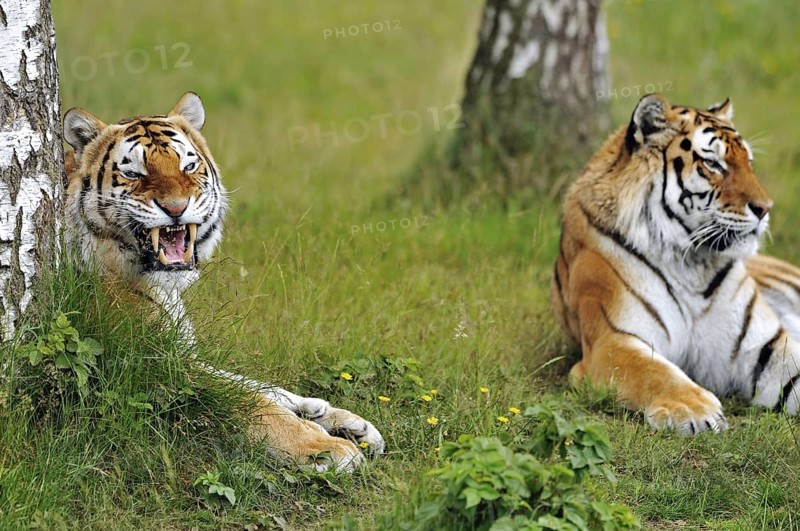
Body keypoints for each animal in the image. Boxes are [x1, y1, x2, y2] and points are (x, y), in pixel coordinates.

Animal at [62, 92, 384, 470]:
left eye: (187, 167)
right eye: (132, 173)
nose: (176, 207)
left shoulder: (181, 354)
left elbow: (254, 384)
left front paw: (343, 420)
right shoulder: (150, 365)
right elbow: (250, 401)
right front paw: (324, 445)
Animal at [552, 93, 800, 435]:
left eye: (748, 163)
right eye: (714, 164)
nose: (765, 208)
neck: (692, 263)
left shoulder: (764, 345)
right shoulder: (611, 339)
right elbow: (652, 370)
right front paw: (693, 409)